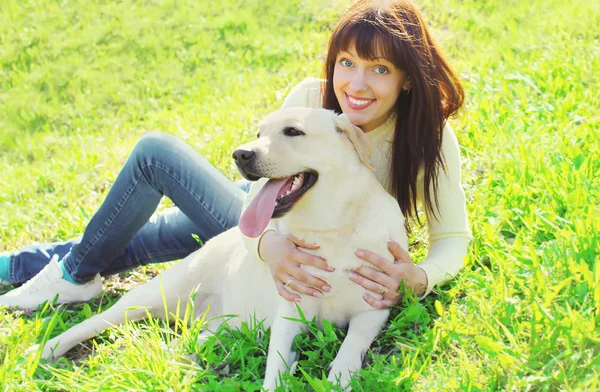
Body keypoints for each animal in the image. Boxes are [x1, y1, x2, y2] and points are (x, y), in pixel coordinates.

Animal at [30, 106, 410, 388]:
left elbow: (351, 345)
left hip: (224, 325)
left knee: (194, 339)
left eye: (293, 132)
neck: (332, 228)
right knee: (95, 322)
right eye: (258, 134)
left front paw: (341, 376)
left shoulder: (375, 307)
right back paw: (45, 347)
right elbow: (275, 369)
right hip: (152, 294)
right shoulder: (289, 314)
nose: (241, 154)